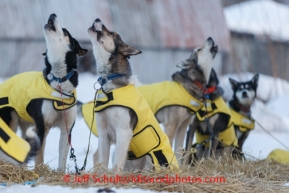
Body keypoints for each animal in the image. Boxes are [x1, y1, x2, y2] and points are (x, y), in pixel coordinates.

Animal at [0, 13, 86, 172]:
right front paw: (39, 172)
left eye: (65, 31)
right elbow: (39, 156)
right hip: (11, 123)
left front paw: (60, 174)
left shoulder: (66, 129)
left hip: (26, 124)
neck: (59, 82)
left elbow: (62, 159)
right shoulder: (41, 127)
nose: (52, 14)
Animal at [86, 18, 177, 171]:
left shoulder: (124, 132)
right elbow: (103, 163)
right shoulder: (103, 134)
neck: (111, 87)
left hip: (152, 155)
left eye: (111, 33)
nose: (97, 19)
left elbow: (116, 165)